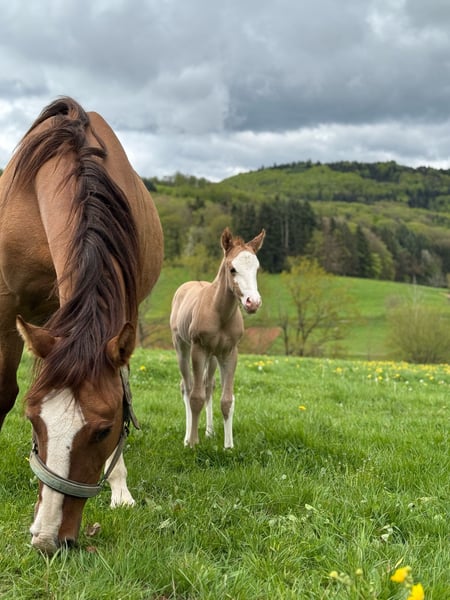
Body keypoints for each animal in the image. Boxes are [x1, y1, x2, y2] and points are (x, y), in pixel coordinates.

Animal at [0, 97, 163, 554]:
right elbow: (4, 392)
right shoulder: (6, 305)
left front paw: (121, 488)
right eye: (33, 420)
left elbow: (123, 392)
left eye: (103, 430)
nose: (47, 538)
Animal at [170, 228, 265, 449]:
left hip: (213, 356)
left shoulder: (229, 353)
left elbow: (227, 399)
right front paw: (193, 443)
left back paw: (210, 431)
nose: (253, 303)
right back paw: (187, 436)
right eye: (232, 269)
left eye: (256, 269)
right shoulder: (198, 349)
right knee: (187, 387)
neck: (219, 313)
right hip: (182, 347)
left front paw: (228, 446)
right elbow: (195, 397)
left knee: (208, 385)